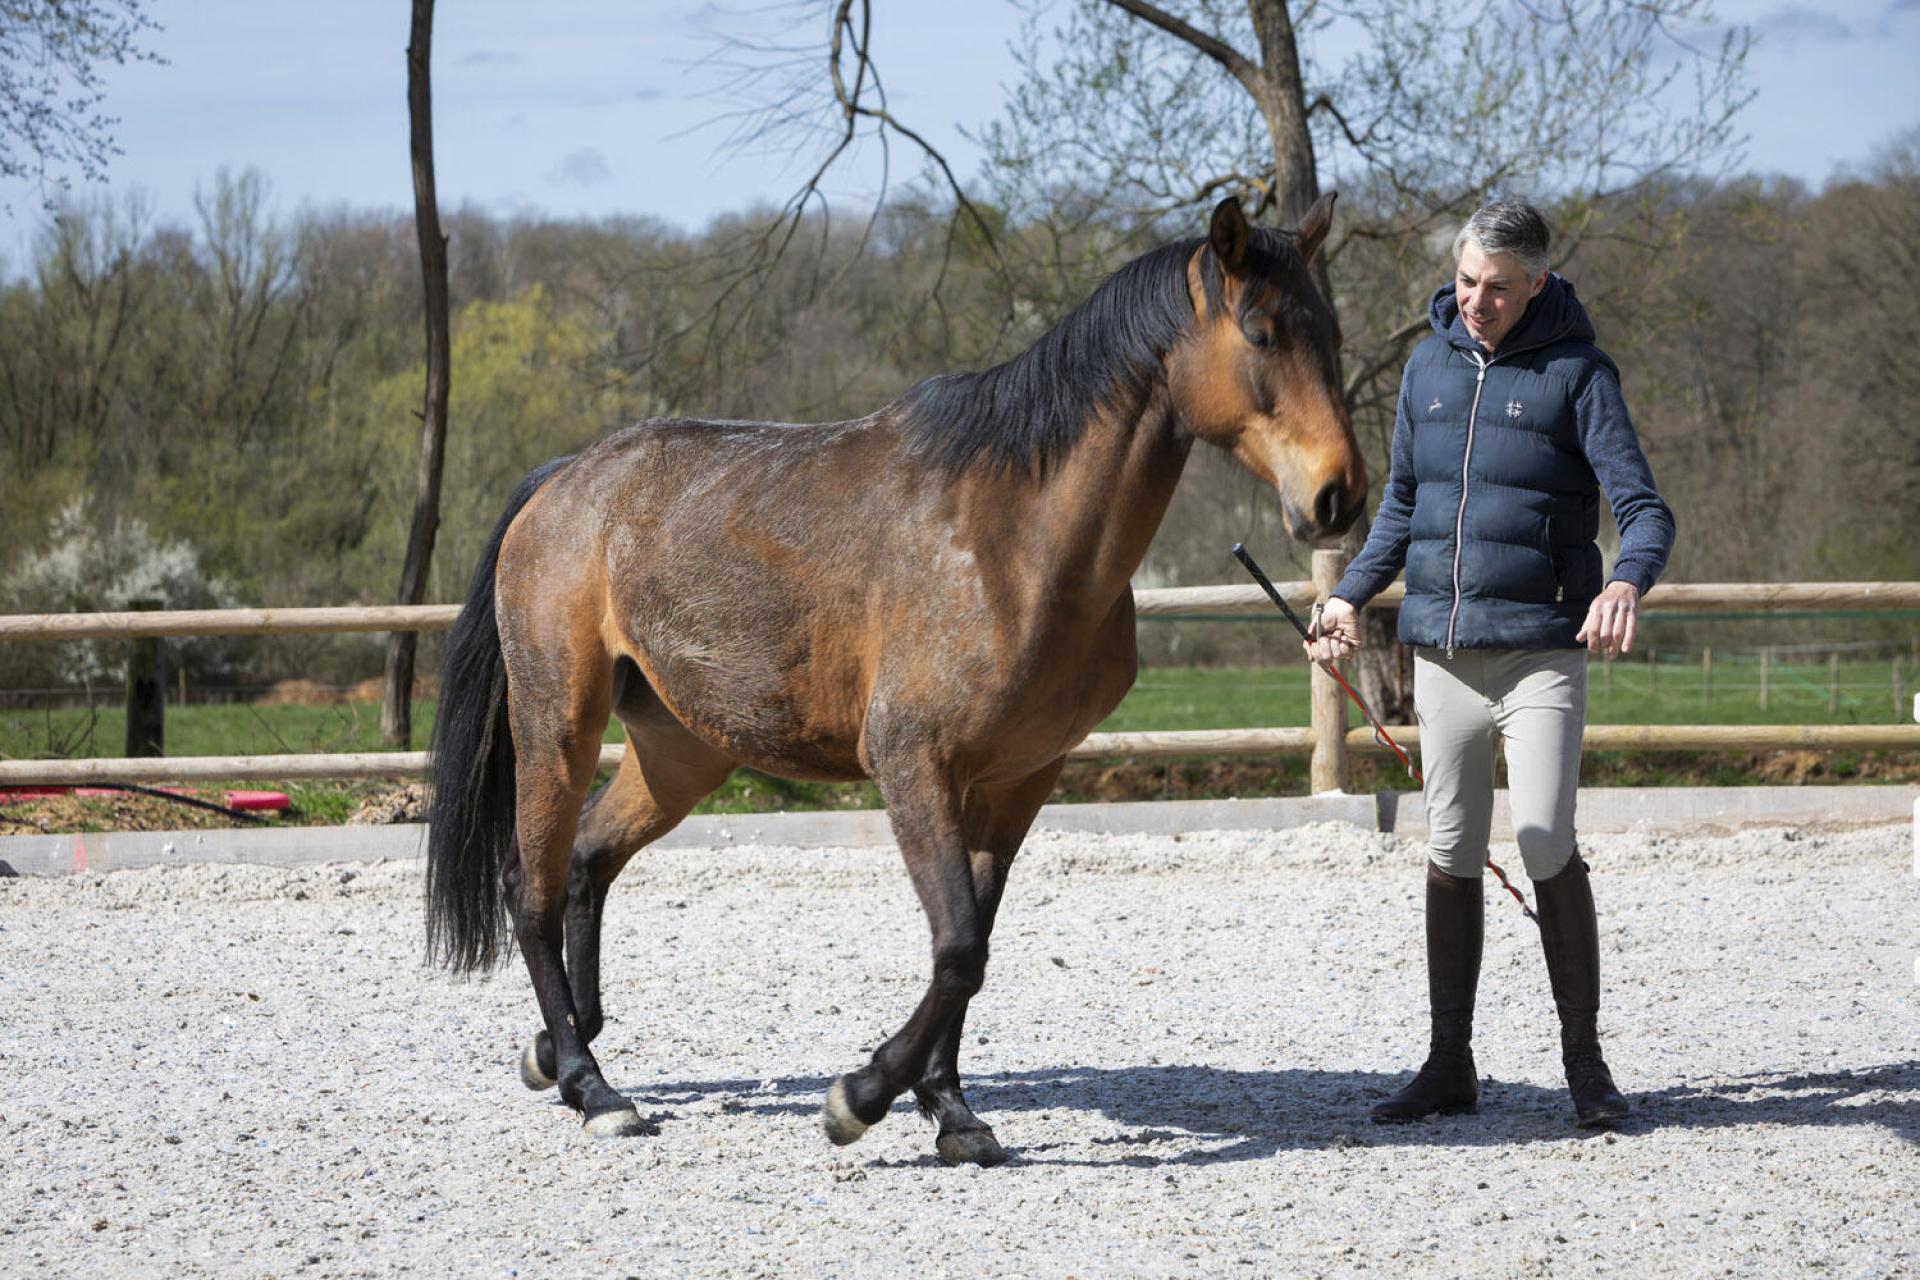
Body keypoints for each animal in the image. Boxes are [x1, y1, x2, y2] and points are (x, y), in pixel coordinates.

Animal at [424, 194, 1366, 1166]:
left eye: (1332, 332)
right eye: (1260, 331)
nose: (1339, 496)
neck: (1014, 540)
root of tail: (565, 480)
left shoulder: (1018, 781)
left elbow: (975, 943)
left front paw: (952, 1109)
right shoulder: (915, 765)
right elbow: (957, 948)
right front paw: (862, 1096)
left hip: (681, 752)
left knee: (584, 864)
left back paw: (558, 1046)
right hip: (558, 721)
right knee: (530, 888)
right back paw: (590, 1084)